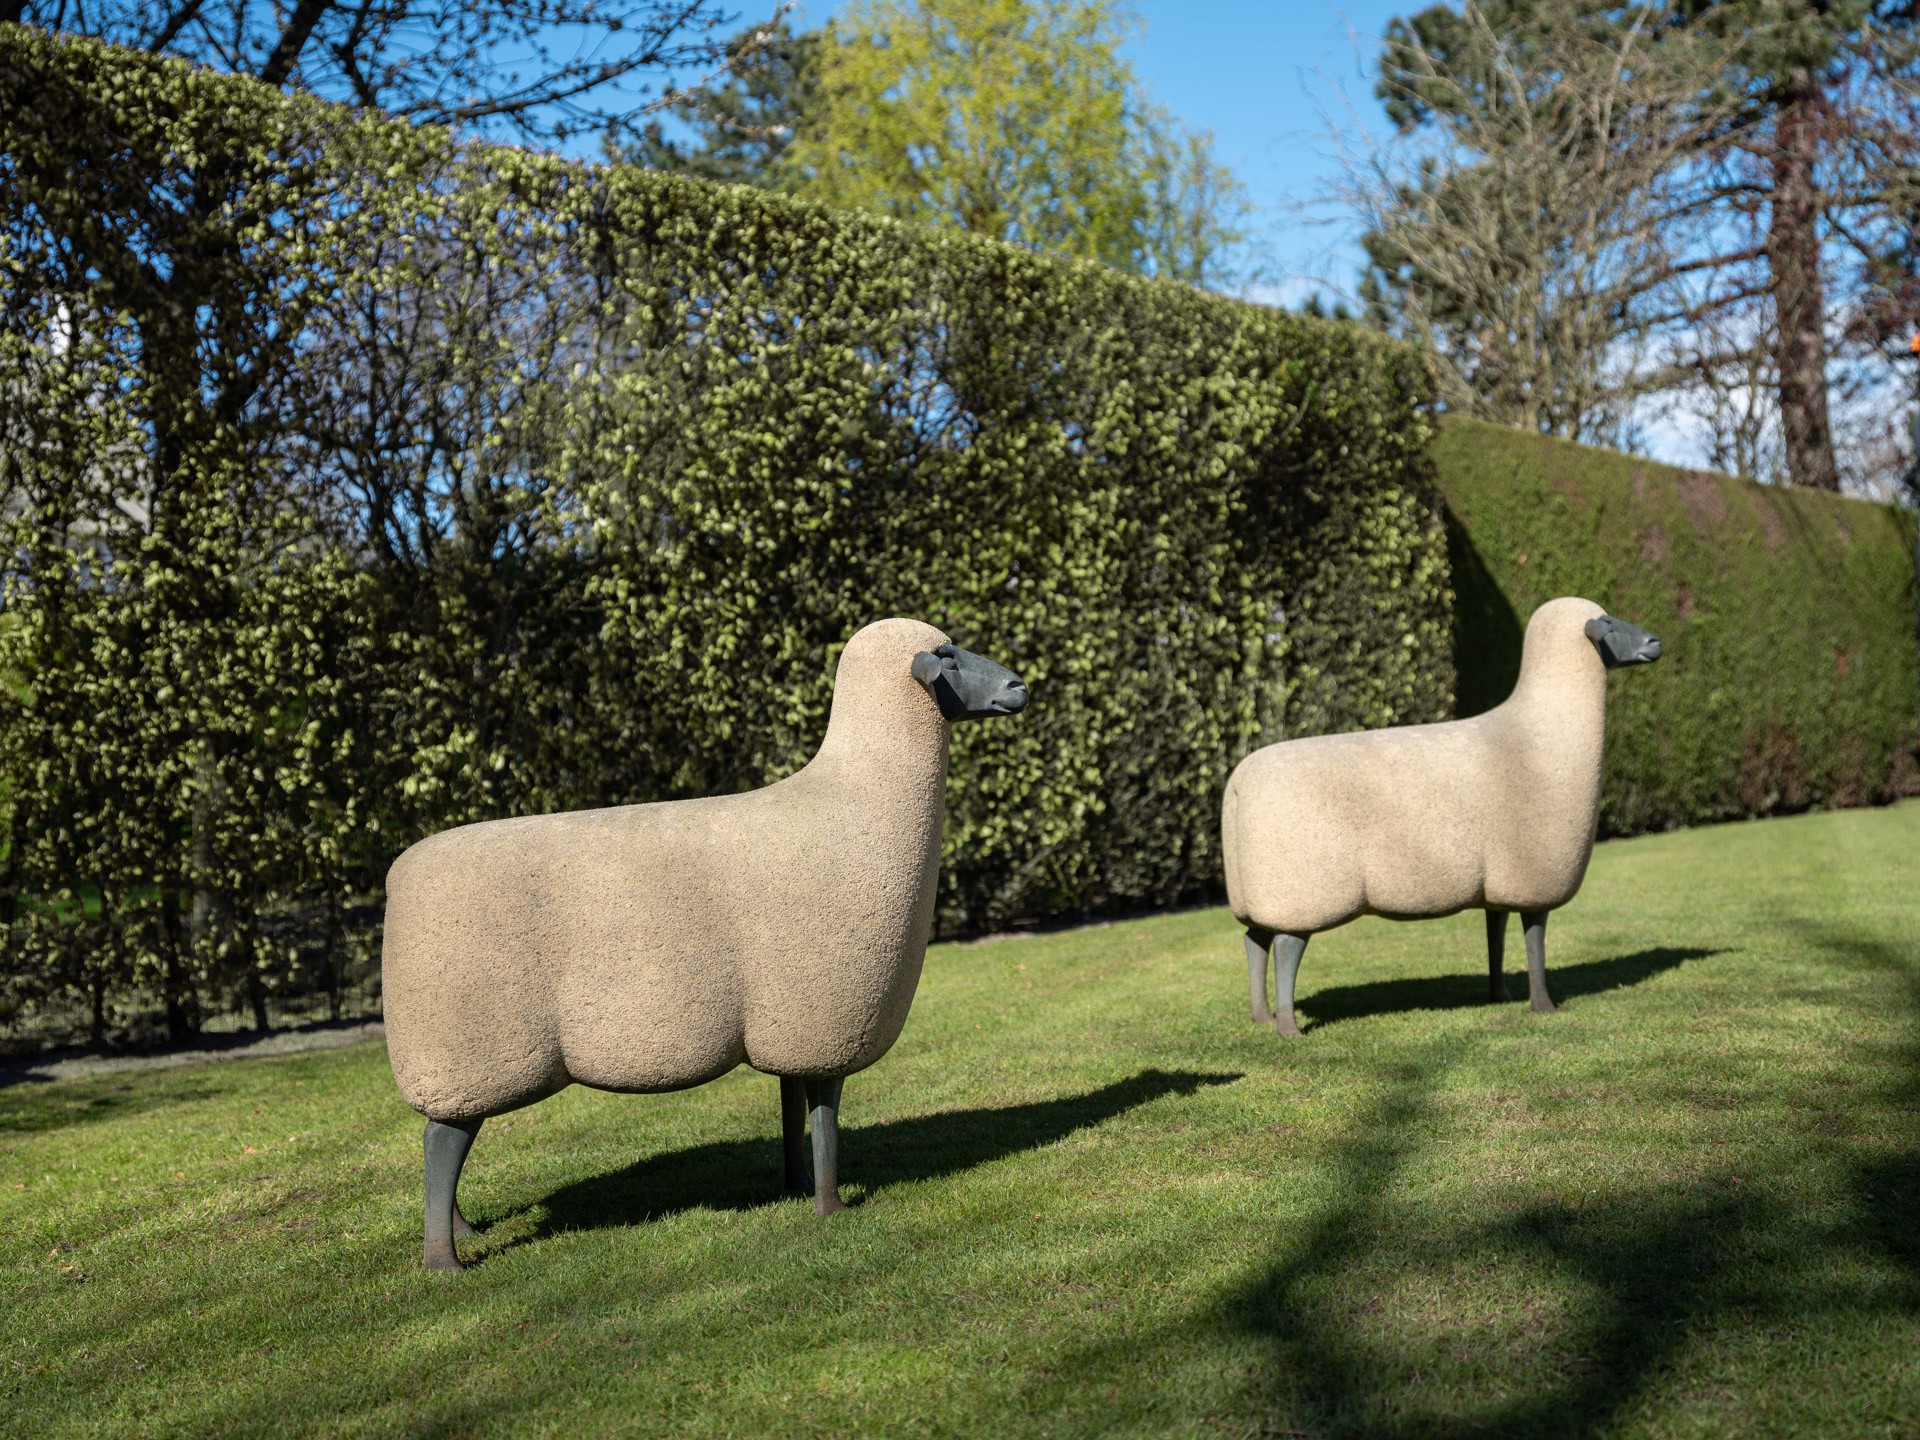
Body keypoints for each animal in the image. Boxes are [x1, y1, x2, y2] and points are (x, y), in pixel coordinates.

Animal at [382, 617, 1030, 1270]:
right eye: (946, 656)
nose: (1019, 685)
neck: (856, 798)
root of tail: (397, 877)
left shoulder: (786, 1025)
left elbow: (791, 1104)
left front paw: (795, 1185)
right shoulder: (825, 1019)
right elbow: (825, 1114)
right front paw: (831, 1208)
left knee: (443, 1135)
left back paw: (464, 1231)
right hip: (469, 1052)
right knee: (442, 1141)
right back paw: (445, 1261)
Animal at [1221, 596, 1660, 1037]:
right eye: (1607, 623)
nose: (1655, 643)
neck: (1540, 731)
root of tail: (1239, 783)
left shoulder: (1498, 885)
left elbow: (1496, 935)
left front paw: (1500, 995)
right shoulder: (1533, 880)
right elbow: (1534, 942)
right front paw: (1543, 1006)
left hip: (1258, 896)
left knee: (1253, 941)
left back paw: (1262, 1017)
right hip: (1301, 893)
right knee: (1285, 948)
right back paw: (1288, 1028)